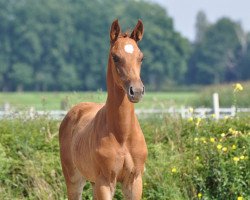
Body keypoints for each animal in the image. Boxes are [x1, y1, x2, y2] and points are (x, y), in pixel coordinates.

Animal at [59, 19, 147, 200]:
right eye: (115, 57)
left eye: (141, 57)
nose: (136, 91)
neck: (122, 135)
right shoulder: (105, 182)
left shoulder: (134, 181)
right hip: (74, 180)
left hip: (92, 182)